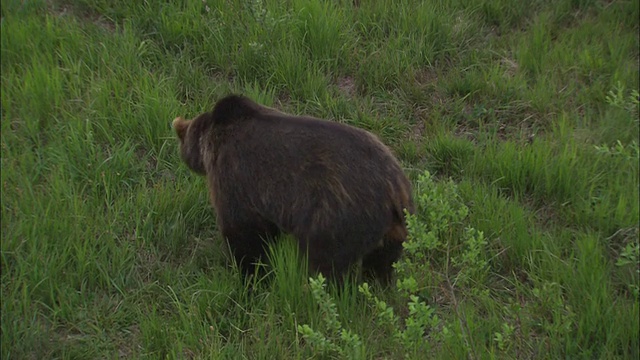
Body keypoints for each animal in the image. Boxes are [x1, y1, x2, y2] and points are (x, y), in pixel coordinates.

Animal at [174, 94, 416, 286]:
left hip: (338, 216)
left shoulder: (234, 177)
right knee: (382, 261)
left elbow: (243, 234)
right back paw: (378, 283)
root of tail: (394, 187)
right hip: (396, 227)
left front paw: (249, 275)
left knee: (326, 263)